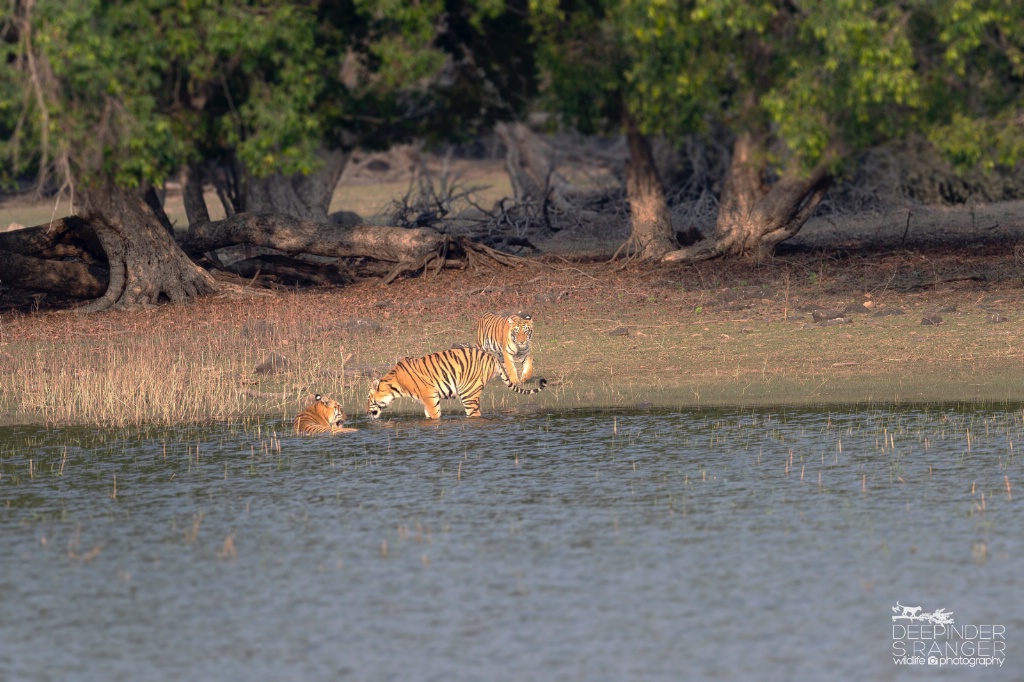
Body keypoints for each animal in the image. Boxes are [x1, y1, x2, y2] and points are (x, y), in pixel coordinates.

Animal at [366, 348, 548, 417]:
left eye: (368, 400)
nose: (366, 412)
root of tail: (492, 357)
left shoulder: (429, 397)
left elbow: (434, 416)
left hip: (468, 393)